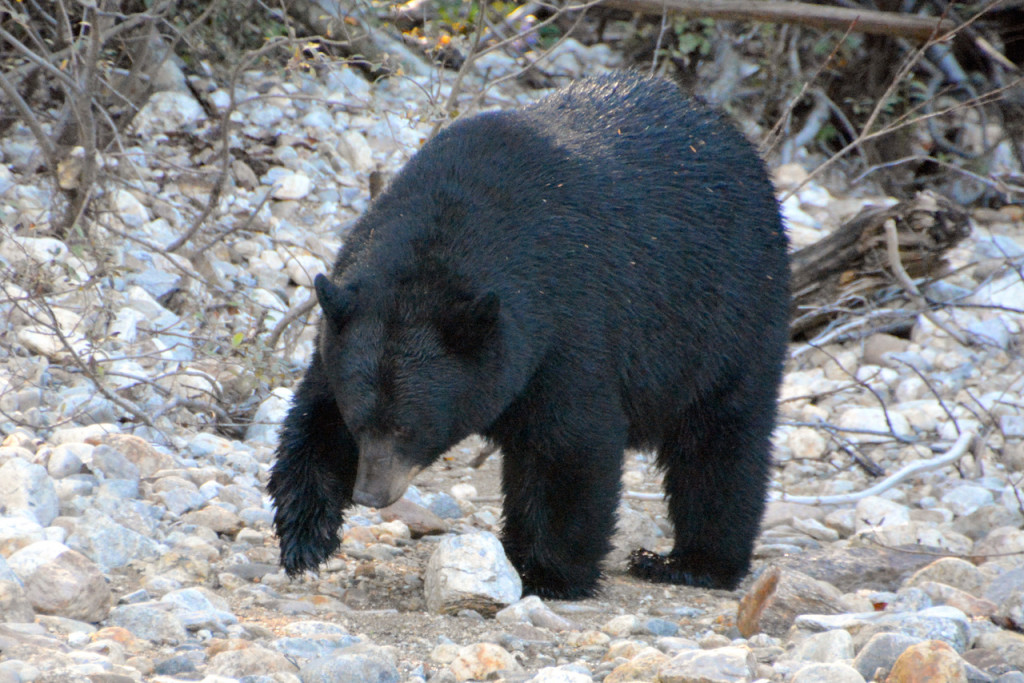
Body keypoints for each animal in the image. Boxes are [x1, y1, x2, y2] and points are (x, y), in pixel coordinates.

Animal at [268, 70, 786, 598]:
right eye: (360, 424)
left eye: (409, 428)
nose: (372, 494)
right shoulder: (345, 326)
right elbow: (315, 416)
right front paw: (305, 538)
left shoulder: (570, 322)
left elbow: (569, 444)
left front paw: (550, 573)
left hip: (728, 312)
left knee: (719, 439)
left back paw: (693, 561)